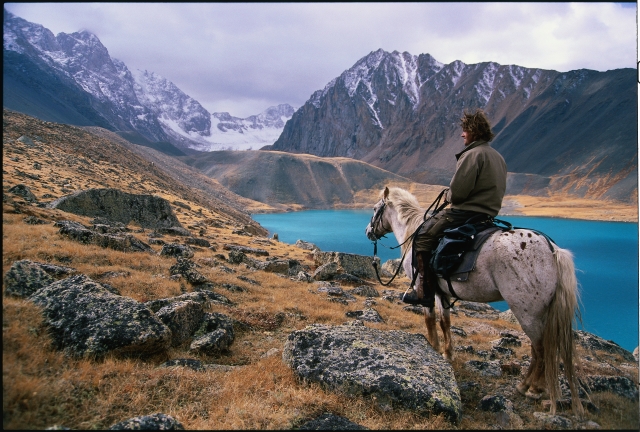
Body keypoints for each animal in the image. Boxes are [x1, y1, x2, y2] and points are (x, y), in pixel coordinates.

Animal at [362, 186, 584, 416]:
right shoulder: (442, 293)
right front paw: (447, 354)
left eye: (375, 208)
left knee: (540, 349)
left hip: (527, 312)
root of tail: (552, 250)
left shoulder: (424, 290)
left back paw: (532, 389)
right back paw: (526, 385)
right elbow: (445, 322)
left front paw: (433, 348)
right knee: (537, 348)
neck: (412, 231)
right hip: (538, 313)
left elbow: (429, 320)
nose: (368, 231)